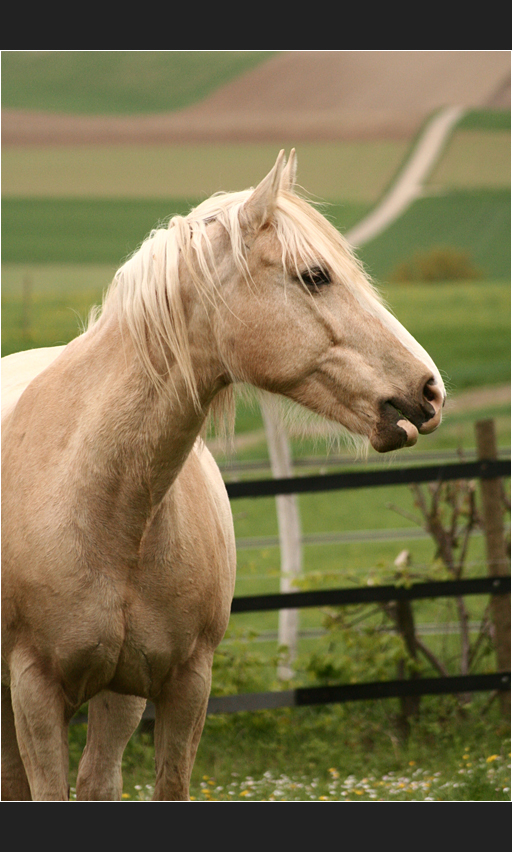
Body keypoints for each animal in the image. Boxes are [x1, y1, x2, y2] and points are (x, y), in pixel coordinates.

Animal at [1, 151, 444, 800]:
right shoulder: (34, 692)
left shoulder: (185, 685)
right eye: (316, 276)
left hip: (118, 699)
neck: (105, 504)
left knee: (98, 778)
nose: (429, 389)